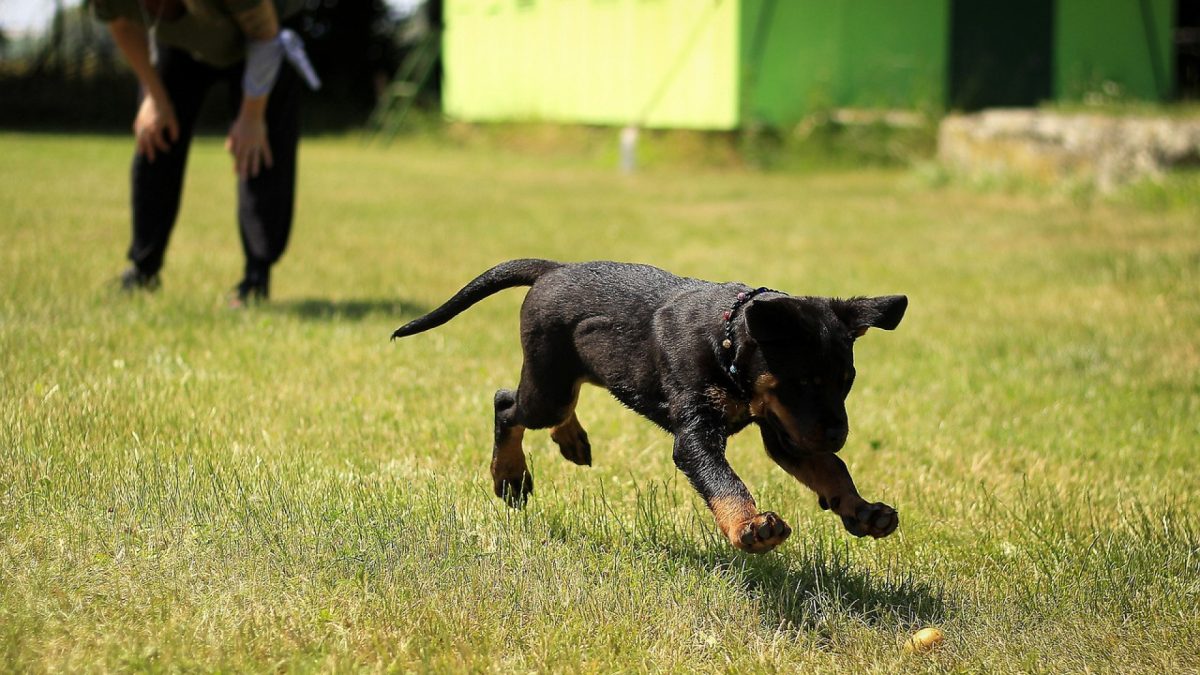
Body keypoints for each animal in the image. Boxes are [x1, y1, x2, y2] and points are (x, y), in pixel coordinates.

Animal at [393, 258, 907, 552]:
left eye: (846, 382)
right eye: (802, 382)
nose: (839, 434)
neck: (726, 341)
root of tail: (553, 269)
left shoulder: (787, 431)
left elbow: (832, 469)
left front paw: (862, 511)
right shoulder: (699, 434)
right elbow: (725, 481)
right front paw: (749, 527)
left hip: (571, 374)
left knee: (556, 405)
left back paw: (571, 441)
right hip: (547, 385)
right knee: (507, 404)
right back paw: (511, 477)